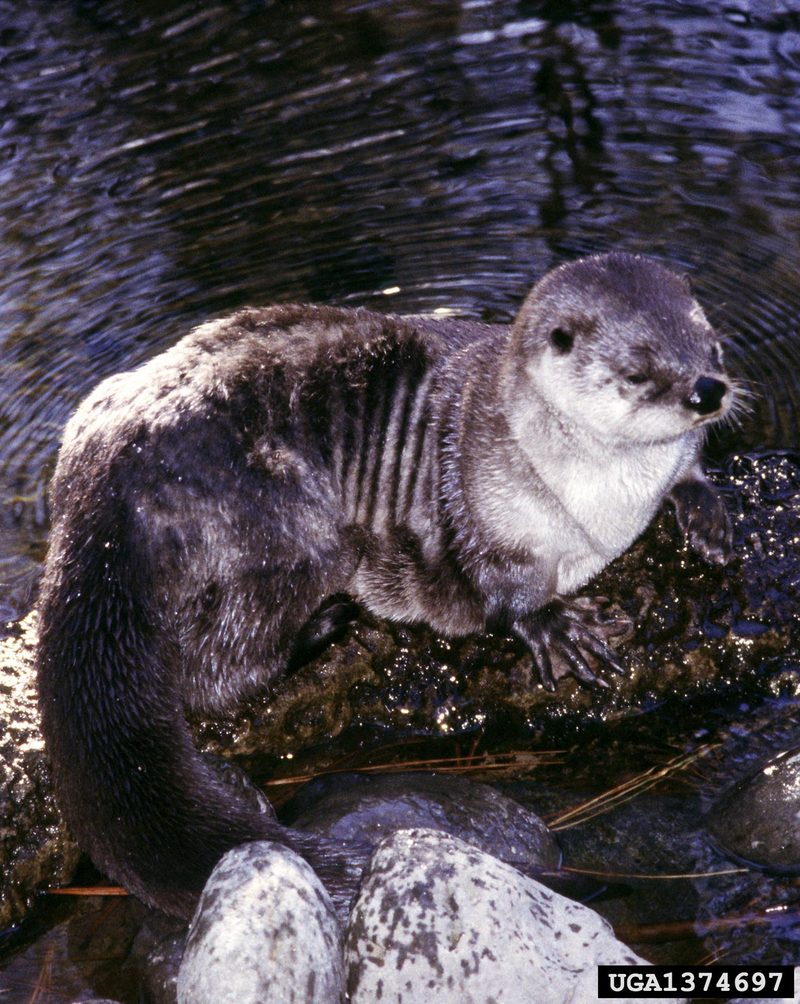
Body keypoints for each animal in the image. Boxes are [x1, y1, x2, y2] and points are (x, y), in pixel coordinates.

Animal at [37, 250, 734, 919]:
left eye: (713, 347)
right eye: (638, 370)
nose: (708, 392)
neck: (607, 505)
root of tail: (103, 490)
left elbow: (691, 467)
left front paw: (705, 511)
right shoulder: (485, 507)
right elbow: (498, 588)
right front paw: (554, 626)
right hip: (286, 530)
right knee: (214, 676)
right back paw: (325, 625)